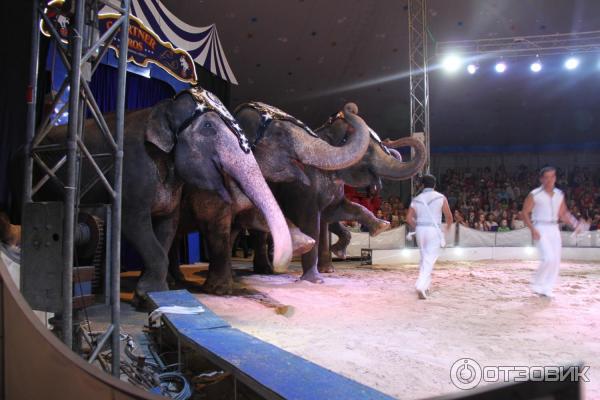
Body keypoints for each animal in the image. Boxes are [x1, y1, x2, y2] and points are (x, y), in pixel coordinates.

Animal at [22, 86, 294, 302]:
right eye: (208, 127)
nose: (280, 268)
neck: (161, 108)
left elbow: (167, 225)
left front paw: (153, 292)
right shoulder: (134, 170)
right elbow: (135, 223)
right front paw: (149, 295)